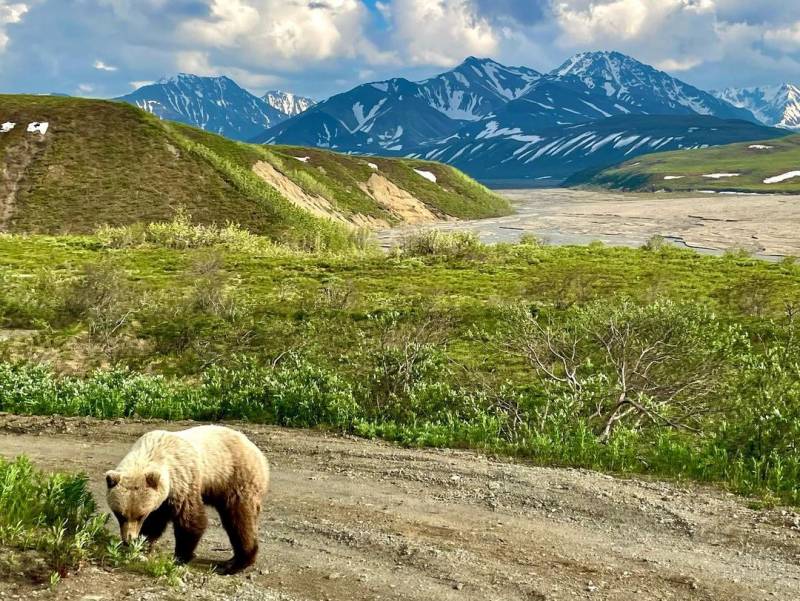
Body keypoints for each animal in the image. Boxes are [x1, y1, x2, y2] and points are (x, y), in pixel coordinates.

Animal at [104, 422, 268, 572]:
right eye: (120, 515)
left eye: (140, 515)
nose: (128, 539)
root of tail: (258, 452)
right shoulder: (162, 499)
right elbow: (156, 521)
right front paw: (141, 545)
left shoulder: (183, 481)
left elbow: (190, 520)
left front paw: (181, 556)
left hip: (235, 477)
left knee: (240, 519)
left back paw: (238, 562)